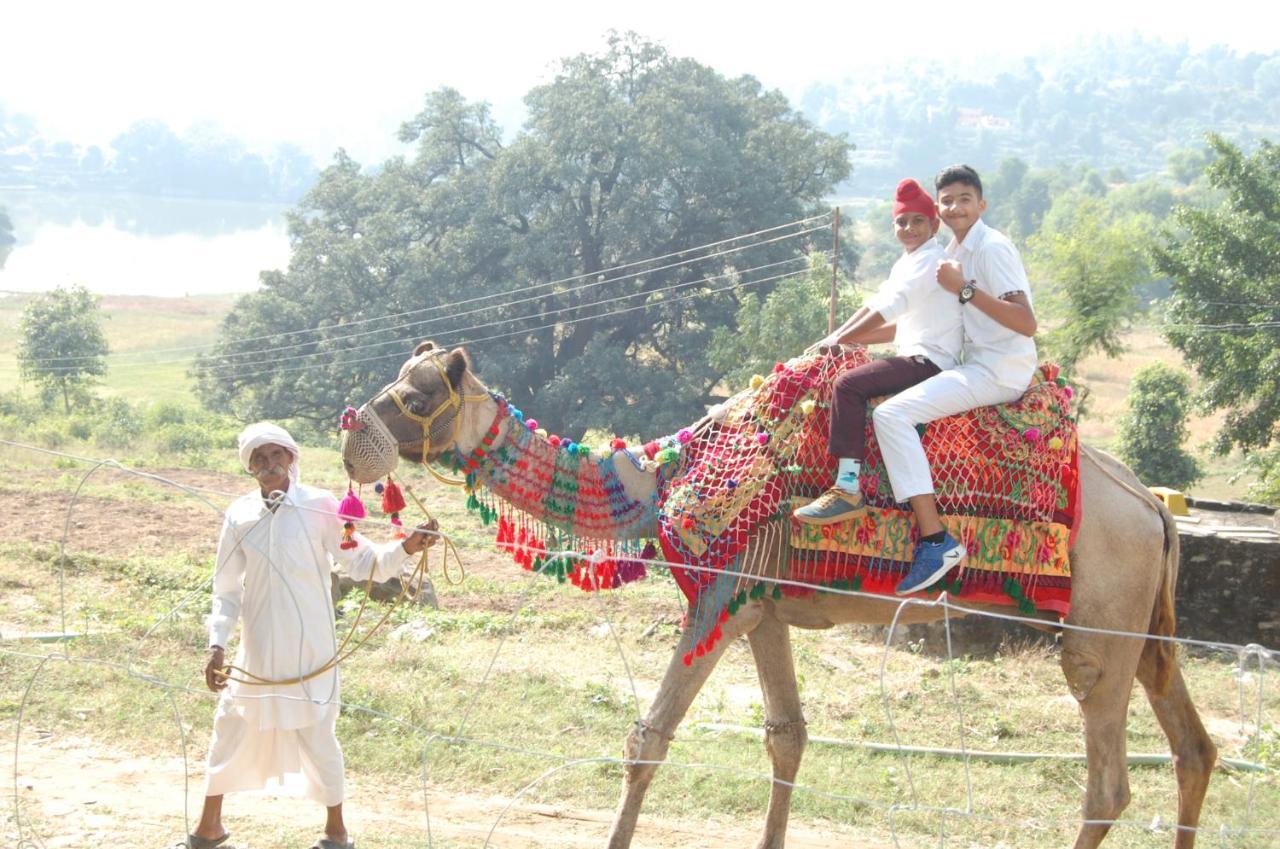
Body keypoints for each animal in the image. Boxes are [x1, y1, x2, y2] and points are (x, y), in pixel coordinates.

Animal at [343, 343, 1218, 849]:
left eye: (416, 395)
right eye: (397, 382)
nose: (353, 430)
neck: (657, 480)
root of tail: (1152, 506)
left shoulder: (721, 595)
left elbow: (647, 738)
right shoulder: (764, 606)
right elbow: (787, 736)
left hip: (1100, 624)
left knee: (1108, 779)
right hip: (1142, 626)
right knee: (1192, 746)